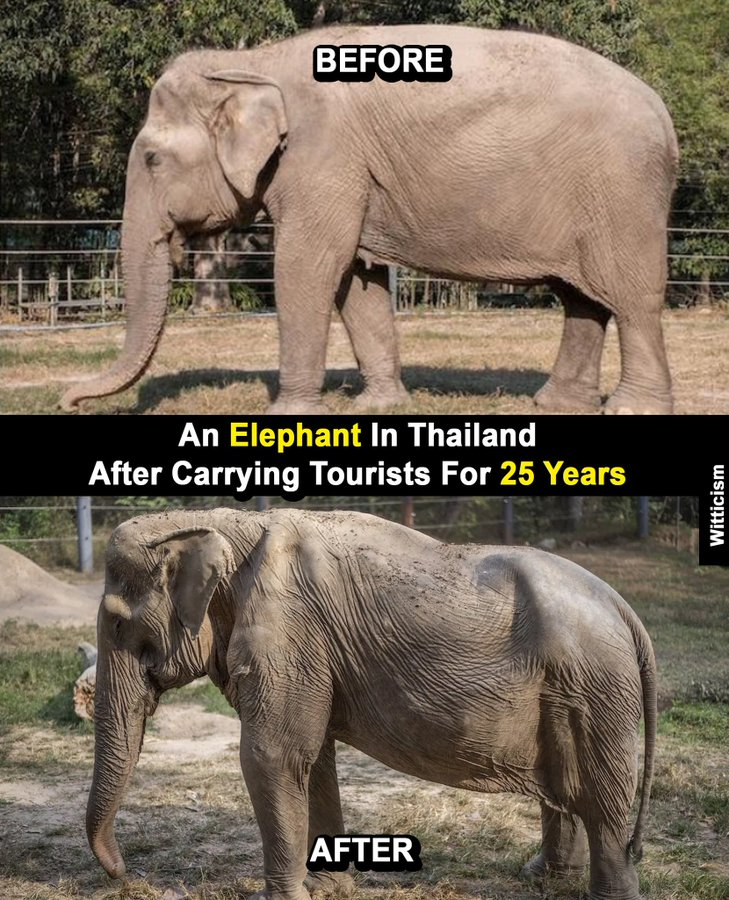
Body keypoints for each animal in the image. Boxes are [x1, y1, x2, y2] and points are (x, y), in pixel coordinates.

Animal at [60, 24, 678, 415]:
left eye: (151, 159)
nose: (67, 400)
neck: (254, 63)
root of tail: (666, 117)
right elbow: (356, 277)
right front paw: (379, 405)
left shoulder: (324, 157)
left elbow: (309, 265)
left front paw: (288, 415)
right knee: (582, 297)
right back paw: (556, 404)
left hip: (621, 192)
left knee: (629, 295)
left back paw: (632, 409)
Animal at [87, 507, 657, 900]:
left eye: (116, 624)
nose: (124, 874)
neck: (221, 523)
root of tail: (627, 611)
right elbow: (311, 759)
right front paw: (327, 890)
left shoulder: (289, 633)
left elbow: (272, 756)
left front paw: (289, 897)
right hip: (571, 690)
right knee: (566, 787)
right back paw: (541, 878)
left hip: (596, 690)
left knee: (602, 800)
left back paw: (606, 894)